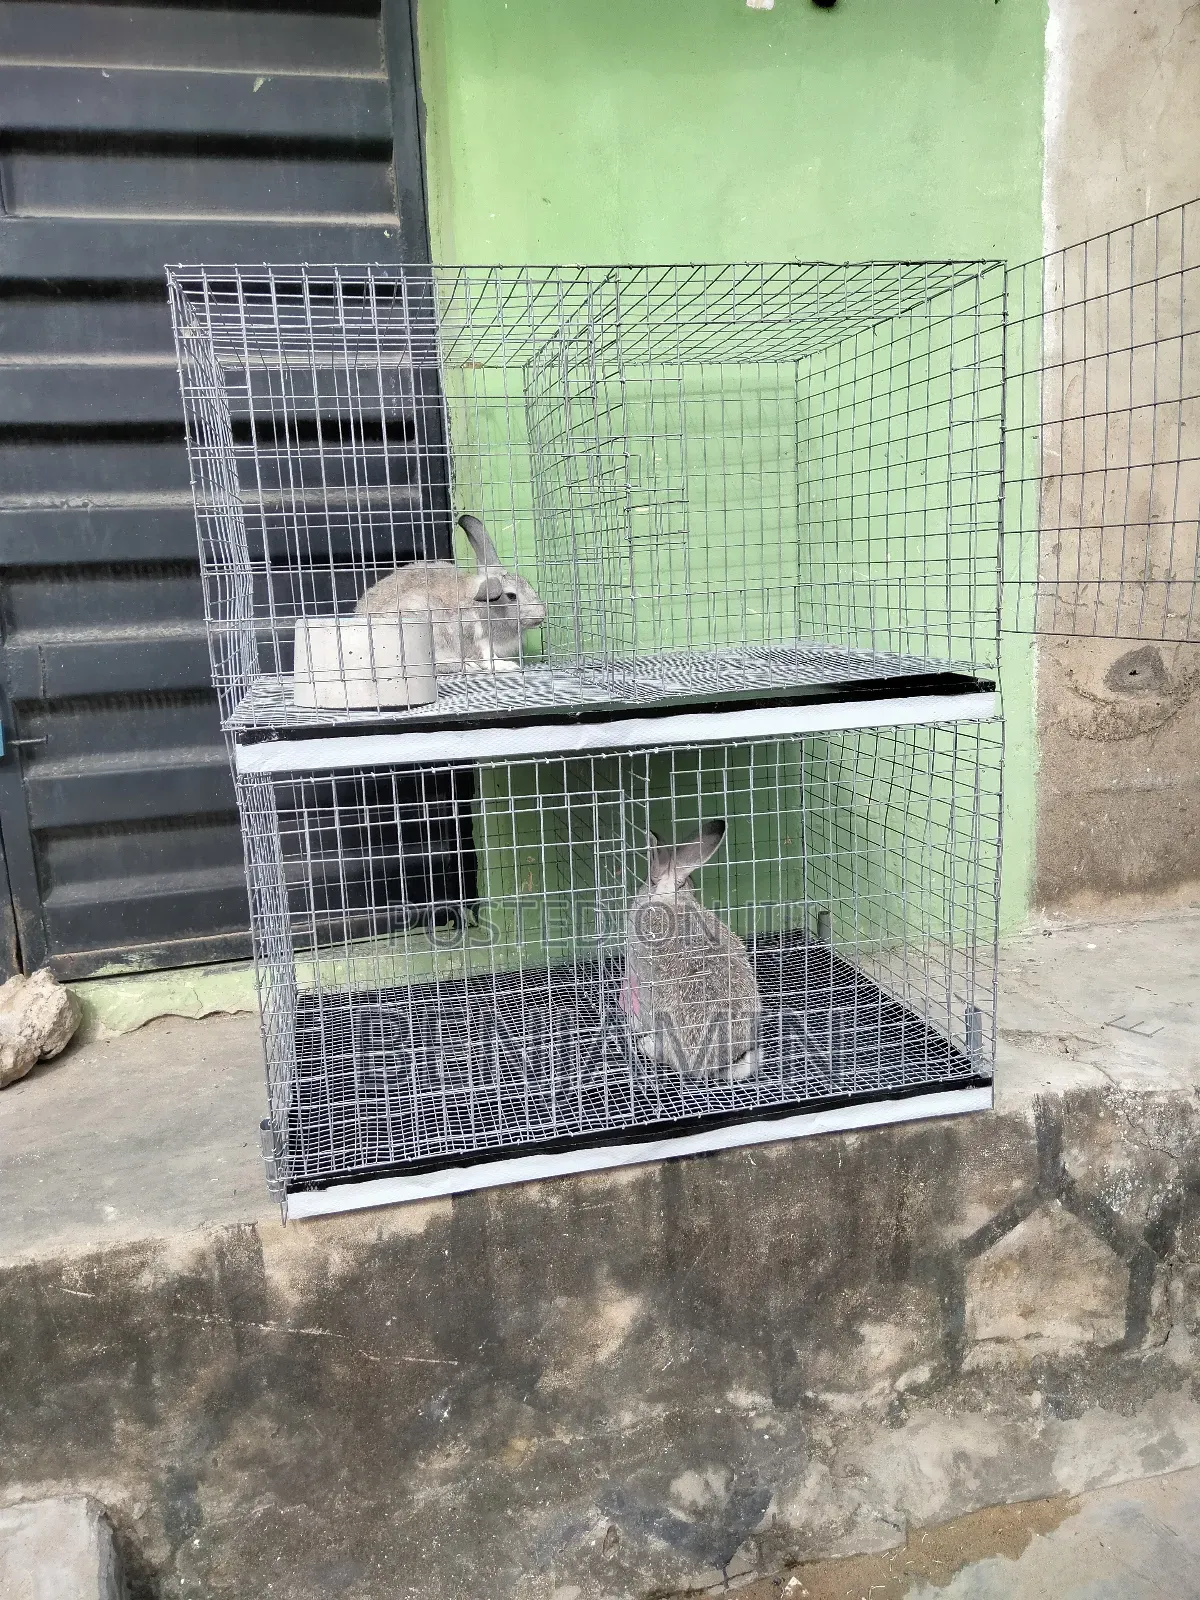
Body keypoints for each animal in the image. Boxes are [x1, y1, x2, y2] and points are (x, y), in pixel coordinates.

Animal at [355, 513, 547, 674]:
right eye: (512, 596)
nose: (541, 615)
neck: (483, 607)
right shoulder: (472, 637)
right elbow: (486, 658)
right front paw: (506, 666)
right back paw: (466, 665)